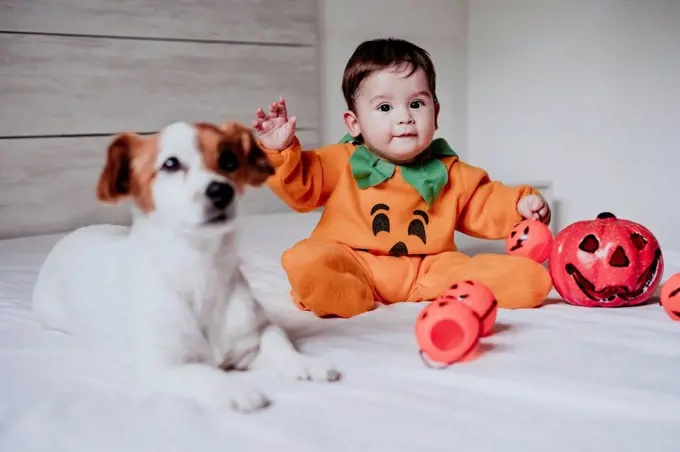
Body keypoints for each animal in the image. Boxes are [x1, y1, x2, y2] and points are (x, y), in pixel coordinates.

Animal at [31, 121, 340, 414]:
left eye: (229, 160)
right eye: (170, 164)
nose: (221, 191)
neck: (202, 269)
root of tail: (76, 233)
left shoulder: (256, 337)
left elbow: (281, 346)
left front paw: (307, 364)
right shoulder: (164, 366)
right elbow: (204, 373)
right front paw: (235, 389)